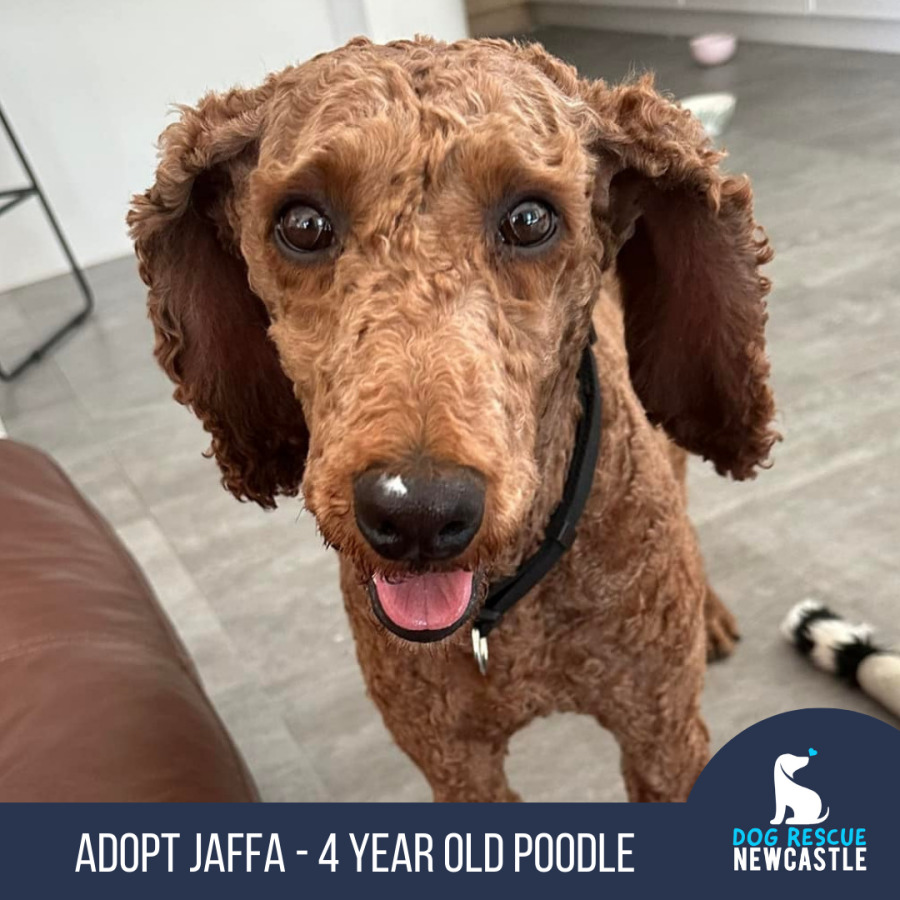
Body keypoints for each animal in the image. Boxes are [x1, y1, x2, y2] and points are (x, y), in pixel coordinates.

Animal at [128, 36, 776, 802]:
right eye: (302, 224)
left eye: (531, 219)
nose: (418, 513)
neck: (506, 612)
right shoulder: (455, 765)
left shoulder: (663, 739)